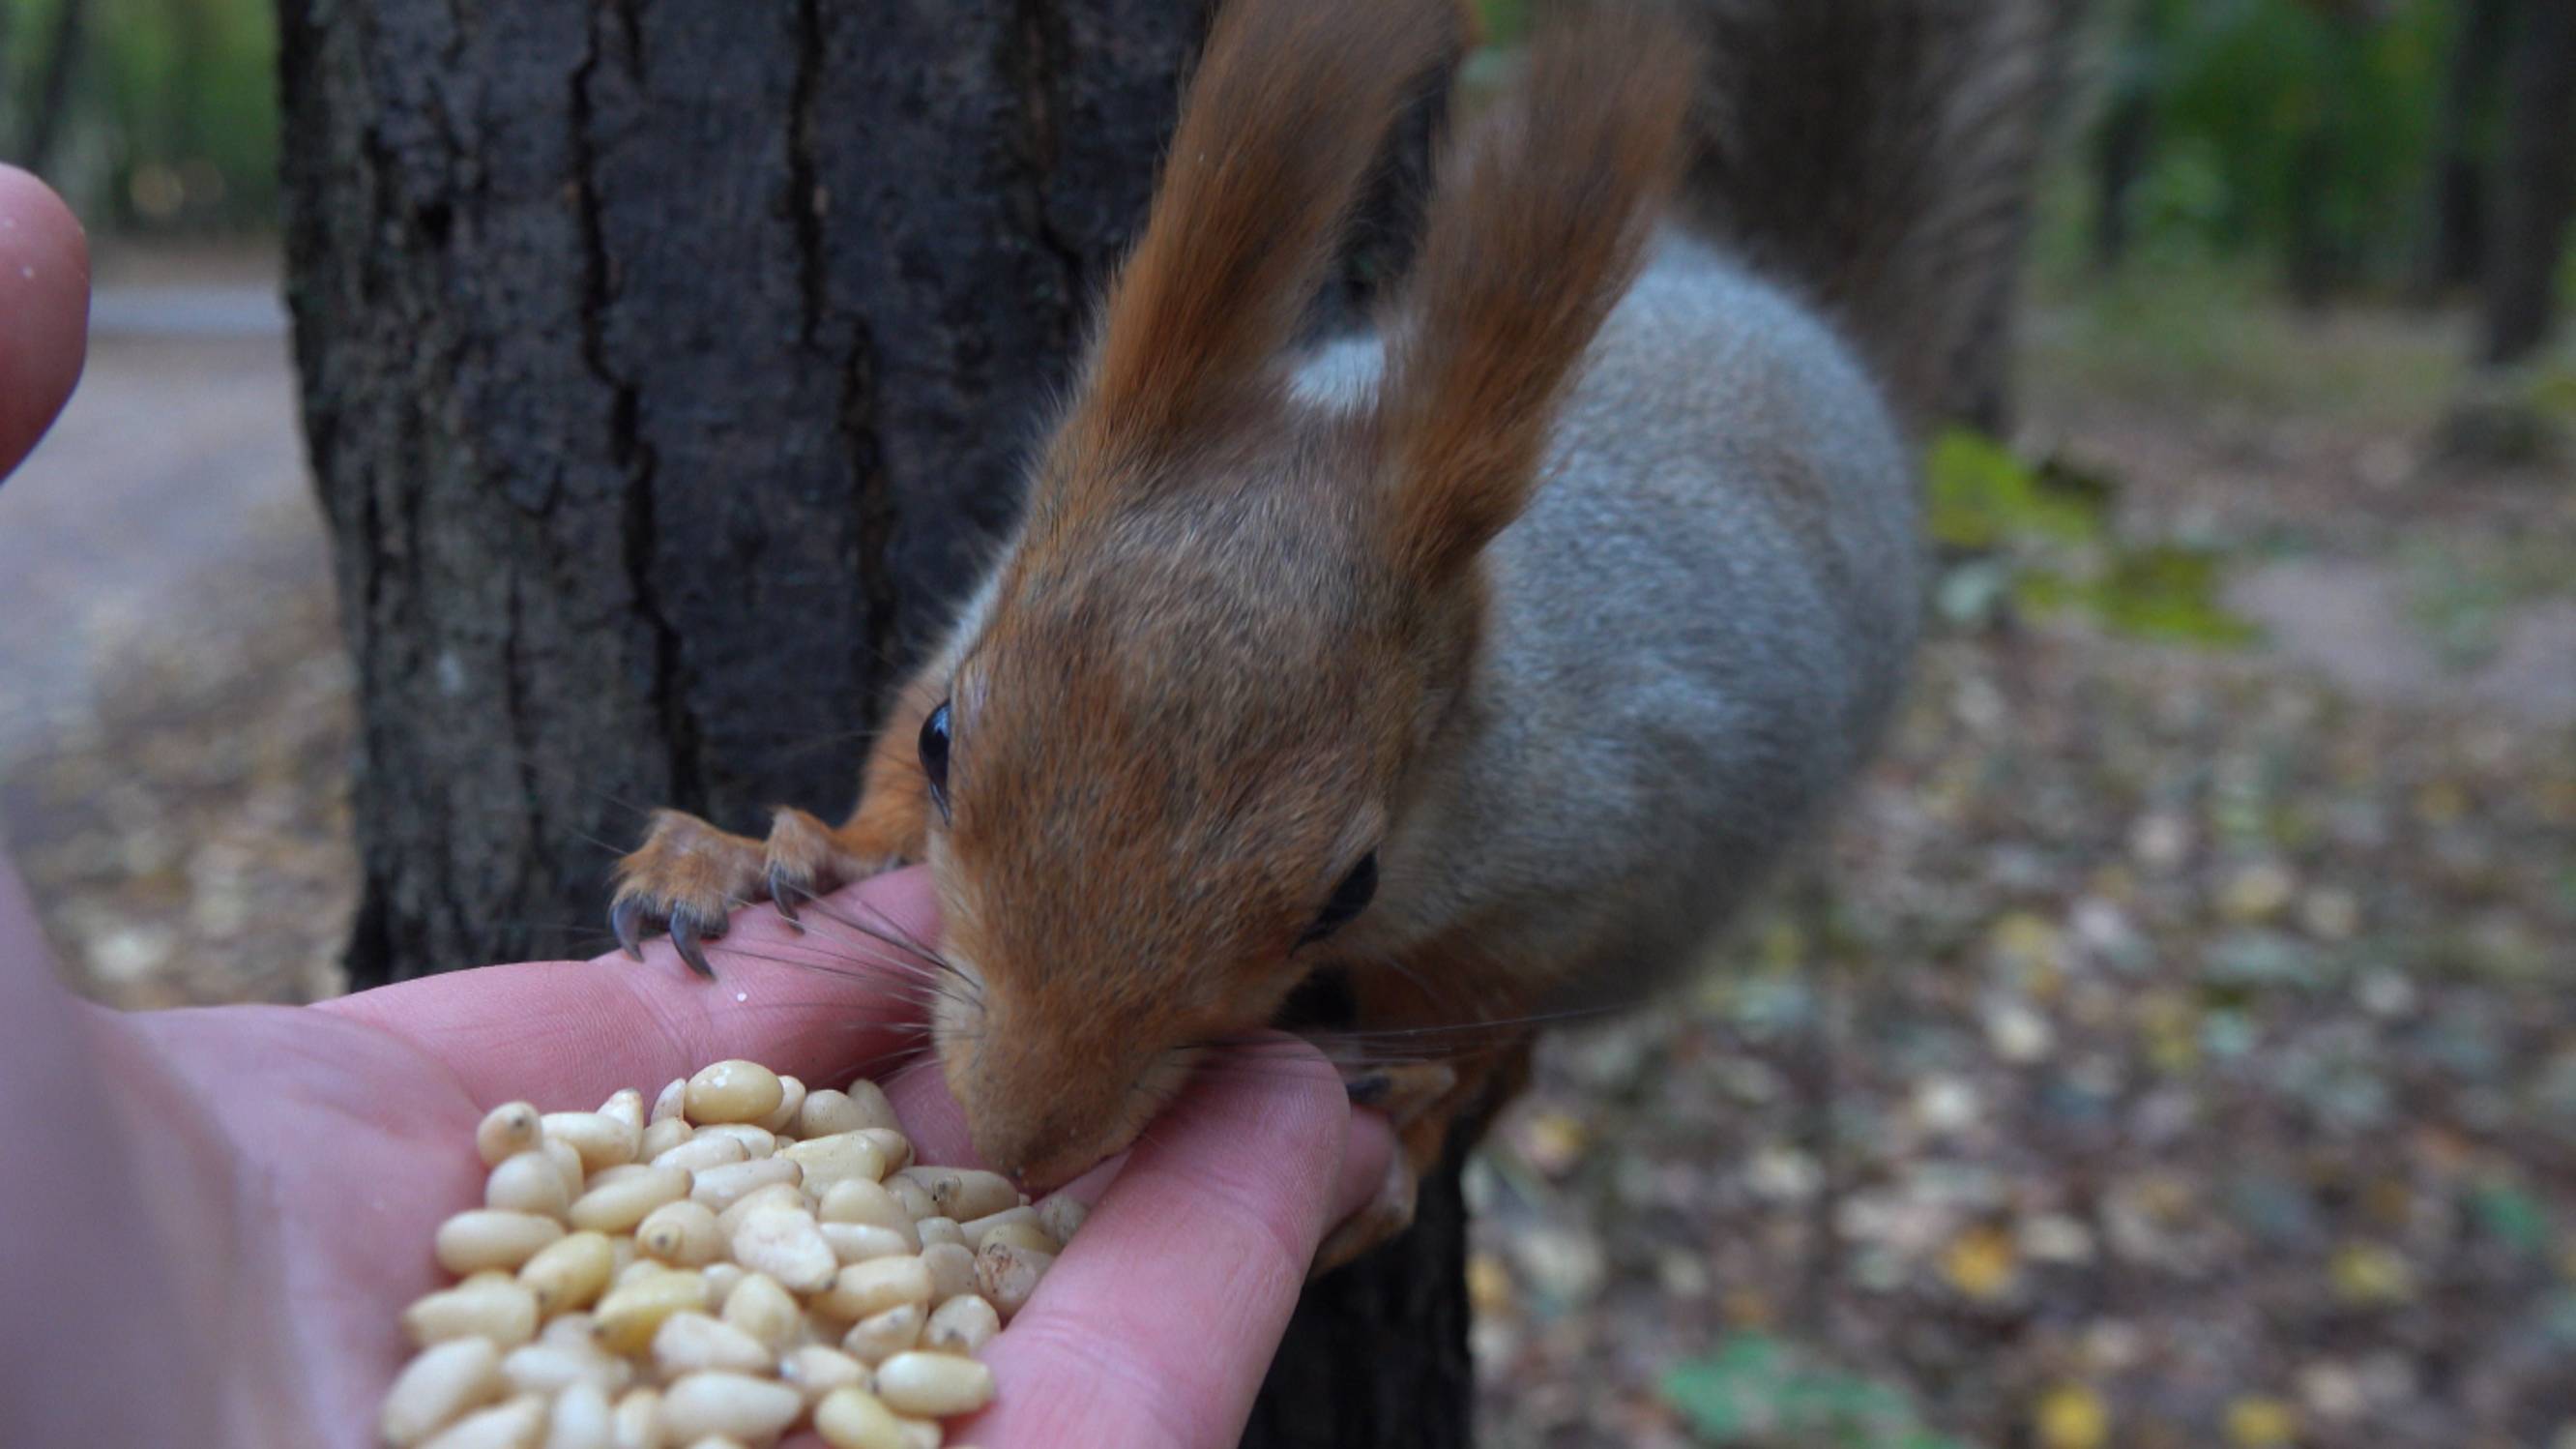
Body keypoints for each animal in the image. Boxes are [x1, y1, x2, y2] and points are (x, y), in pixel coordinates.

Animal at [602, 0, 2050, 1263]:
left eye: (1346, 888)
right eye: (950, 738)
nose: (1022, 1138)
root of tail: (1820, 343)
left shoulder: (1586, 864)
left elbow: (1482, 1015)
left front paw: (1409, 1125)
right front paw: (761, 854)